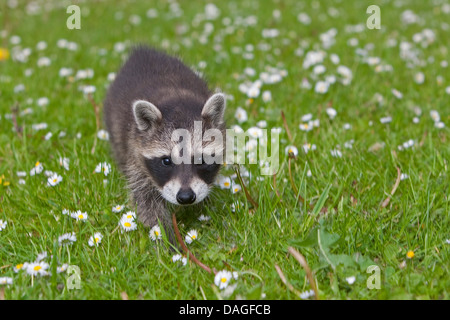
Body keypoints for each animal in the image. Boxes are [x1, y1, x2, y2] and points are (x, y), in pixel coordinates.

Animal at [104, 46, 227, 244]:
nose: (186, 197)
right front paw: (166, 235)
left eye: (201, 160)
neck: (177, 103)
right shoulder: (135, 152)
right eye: (166, 161)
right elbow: (146, 200)